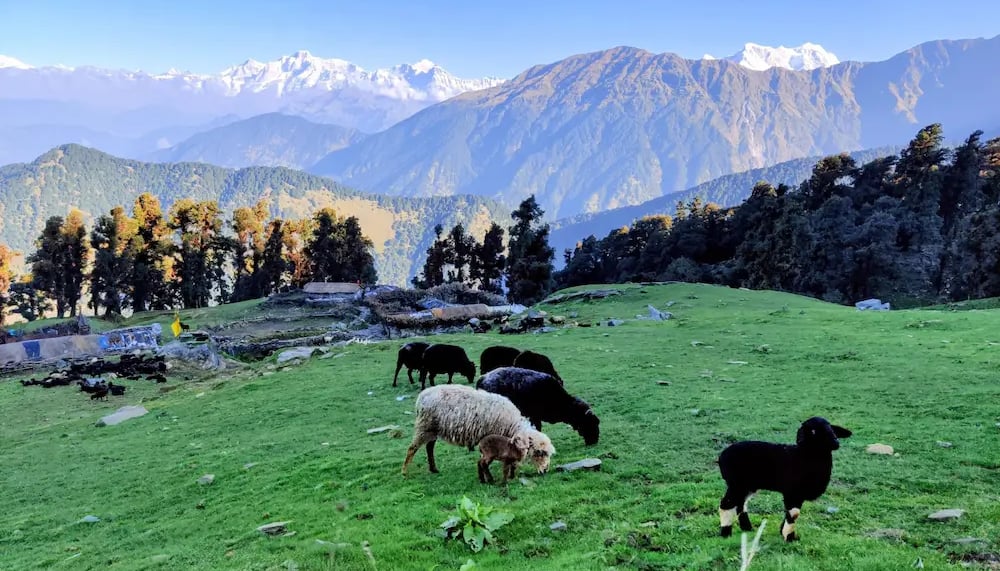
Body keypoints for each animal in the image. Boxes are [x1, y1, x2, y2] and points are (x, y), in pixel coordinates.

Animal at [401, 384, 555, 477]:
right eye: (539, 452)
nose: (545, 470)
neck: (511, 425)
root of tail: (422, 395)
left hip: (433, 429)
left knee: (429, 447)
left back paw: (433, 469)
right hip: (424, 426)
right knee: (412, 448)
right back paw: (404, 471)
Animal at [717, 416, 853, 542]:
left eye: (831, 428)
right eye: (813, 431)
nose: (835, 442)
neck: (805, 456)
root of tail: (722, 455)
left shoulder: (797, 494)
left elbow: (789, 513)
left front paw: (783, 532)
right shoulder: (792, 492)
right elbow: (794, 514)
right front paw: (789, 537)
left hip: (747, 486)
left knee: (741, 504)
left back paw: (747, 528)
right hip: (736, 484)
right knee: (726, 504)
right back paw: (726, 533)